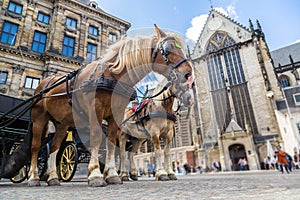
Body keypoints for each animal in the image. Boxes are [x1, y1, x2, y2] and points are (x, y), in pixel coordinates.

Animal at [26, 24, 195, 187]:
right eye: (168, 48)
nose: (189, 74)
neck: (112, 76)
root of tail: (43, 83)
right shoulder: (97, 110)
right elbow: (96, 138)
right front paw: (95, 174)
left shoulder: (117, 116)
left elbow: (111, 143)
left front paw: (112, 174)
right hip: (39, 118)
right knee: (35, 146)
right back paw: (33, 177)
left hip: (62, 124)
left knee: (54, 147)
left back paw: (53, 177)